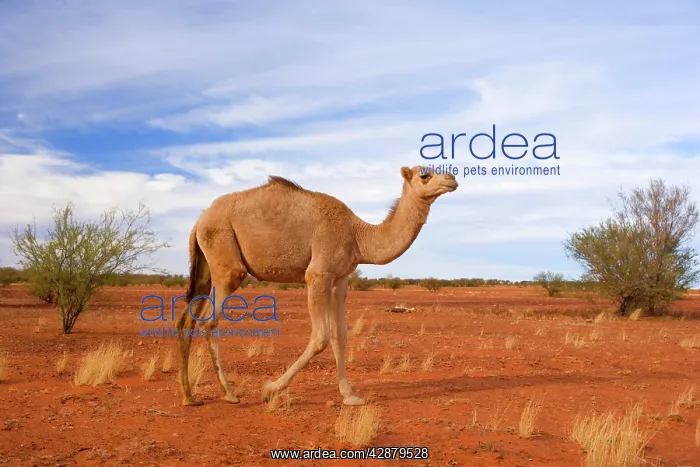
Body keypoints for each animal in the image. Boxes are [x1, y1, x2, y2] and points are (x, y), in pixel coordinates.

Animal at [175, 165, 458, 406]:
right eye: (424, 175)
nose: (452, 179)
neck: (358, 235)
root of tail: (199, 220)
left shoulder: (340, 279)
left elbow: (339, 335)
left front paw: (350, 396)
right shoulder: (318, 274)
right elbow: (320, 337)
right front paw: (270, 389)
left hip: (205, 266)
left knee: (187, 320)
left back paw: (190, 396)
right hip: (226, 259)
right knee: (210, 320)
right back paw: (229, 393)